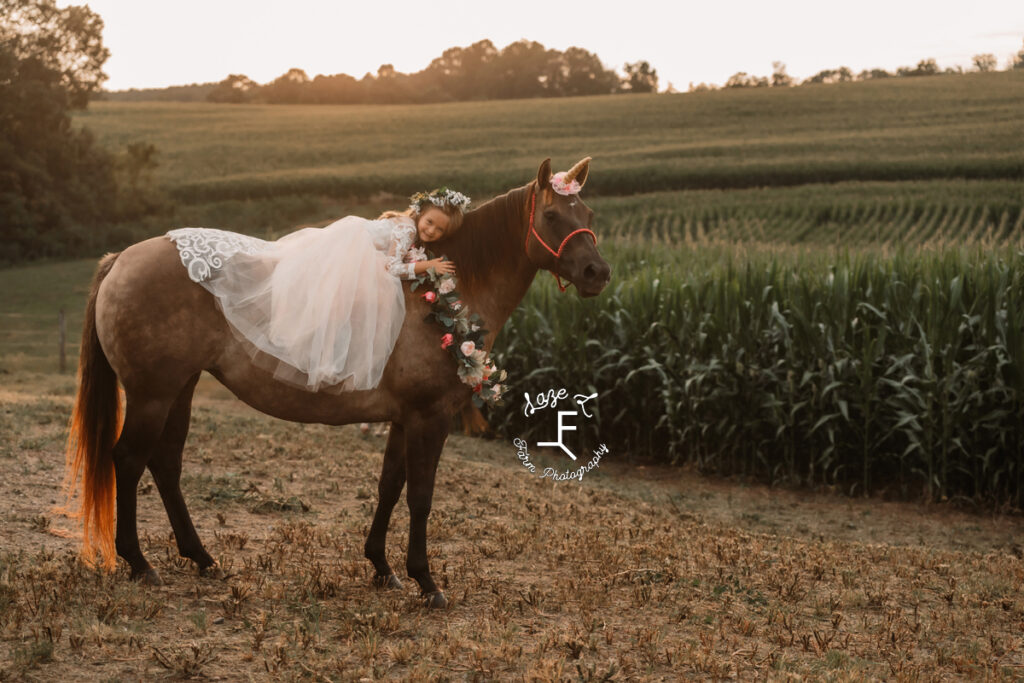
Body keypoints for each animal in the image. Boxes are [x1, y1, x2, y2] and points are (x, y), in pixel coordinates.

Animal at [61, 156, 606, 610]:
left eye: (588, 213)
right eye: (552, 216)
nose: (597, 272)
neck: (442, 296)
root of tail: (121, 259)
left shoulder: (404, 419)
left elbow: (390, 486)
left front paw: (382, 567)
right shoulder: (429, 417)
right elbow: (421, 496)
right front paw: (426, 581)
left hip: (180, 388)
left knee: (165, 464)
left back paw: (201, 558)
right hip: (152, 394)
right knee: (128, 460)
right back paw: (138, 563)